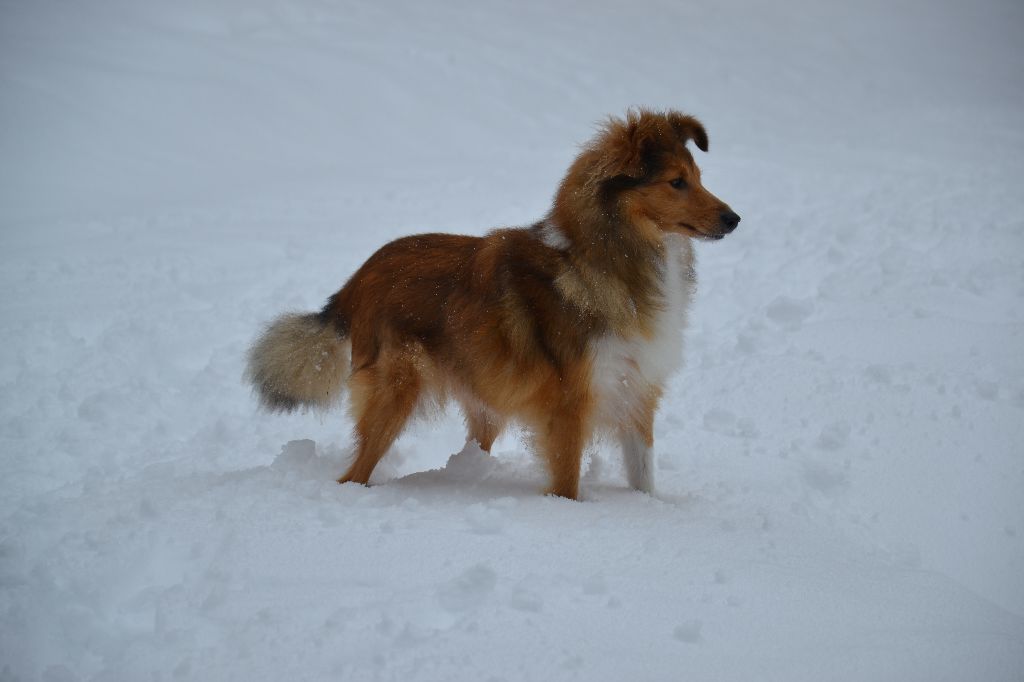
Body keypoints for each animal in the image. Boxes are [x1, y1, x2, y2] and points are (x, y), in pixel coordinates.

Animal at [243, 109, 741, 497]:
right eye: (676, 182)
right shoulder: (571, 407)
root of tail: (357, 279)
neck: (605, 258)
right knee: (354, 472)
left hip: (482, 398)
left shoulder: (635, 391)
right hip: (396, 388)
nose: (734, 219)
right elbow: (568, 485)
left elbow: (644, 477)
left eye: (698, 178)